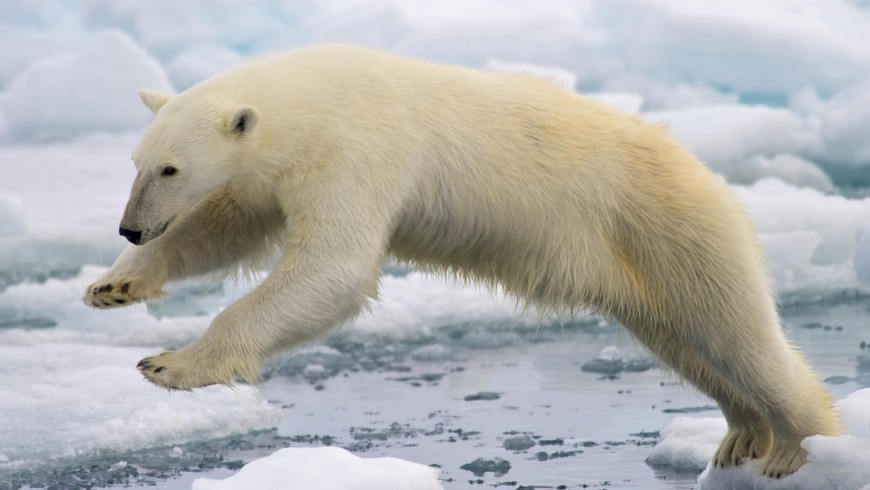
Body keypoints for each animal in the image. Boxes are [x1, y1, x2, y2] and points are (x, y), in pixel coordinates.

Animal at [85, 45, 840, 474]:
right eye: (136, 162)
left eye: (171, 168)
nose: (130, 227)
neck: (310, 99)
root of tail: (707, 174)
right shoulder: (276, 172)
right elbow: (227, 226)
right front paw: (114, 286)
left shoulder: (358, 151)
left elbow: (333, 267)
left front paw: (171, 364)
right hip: (639, 265)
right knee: (687, 343)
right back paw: (742, 435)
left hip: (670, 227)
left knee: (737, 333)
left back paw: (798, 447)